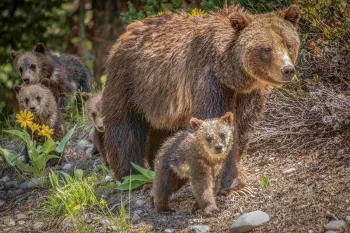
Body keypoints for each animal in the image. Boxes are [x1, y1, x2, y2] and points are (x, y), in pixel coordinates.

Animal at [102, 4, 300, 193]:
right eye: (266, 49)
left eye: (289, 44)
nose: (287, 70)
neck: (232, 76)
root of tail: (128, 31)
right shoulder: (209, 80)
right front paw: (232, 185)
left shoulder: (248, 95)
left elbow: (242, 127)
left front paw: (234, 182)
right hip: (130, 82)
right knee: (124, 128)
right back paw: (131, 177)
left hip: (163, 102)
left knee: (162, 131)